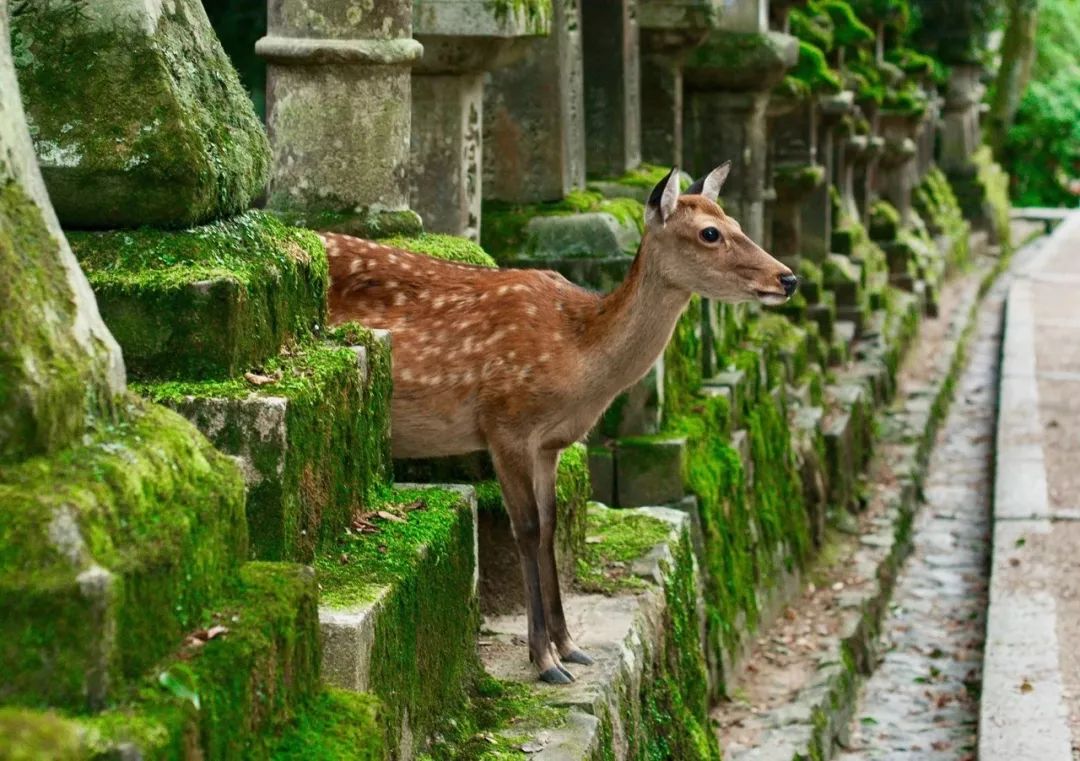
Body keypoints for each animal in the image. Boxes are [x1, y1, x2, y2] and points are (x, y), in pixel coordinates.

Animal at [324, 165, 799, 682]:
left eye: (735, 221)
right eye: (710, 233)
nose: (788, 277)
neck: (579, 360)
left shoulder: (550, 444)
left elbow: (553, 524)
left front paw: (570, 645)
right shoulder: (504, 423)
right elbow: (528, 529)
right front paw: (544, 659)